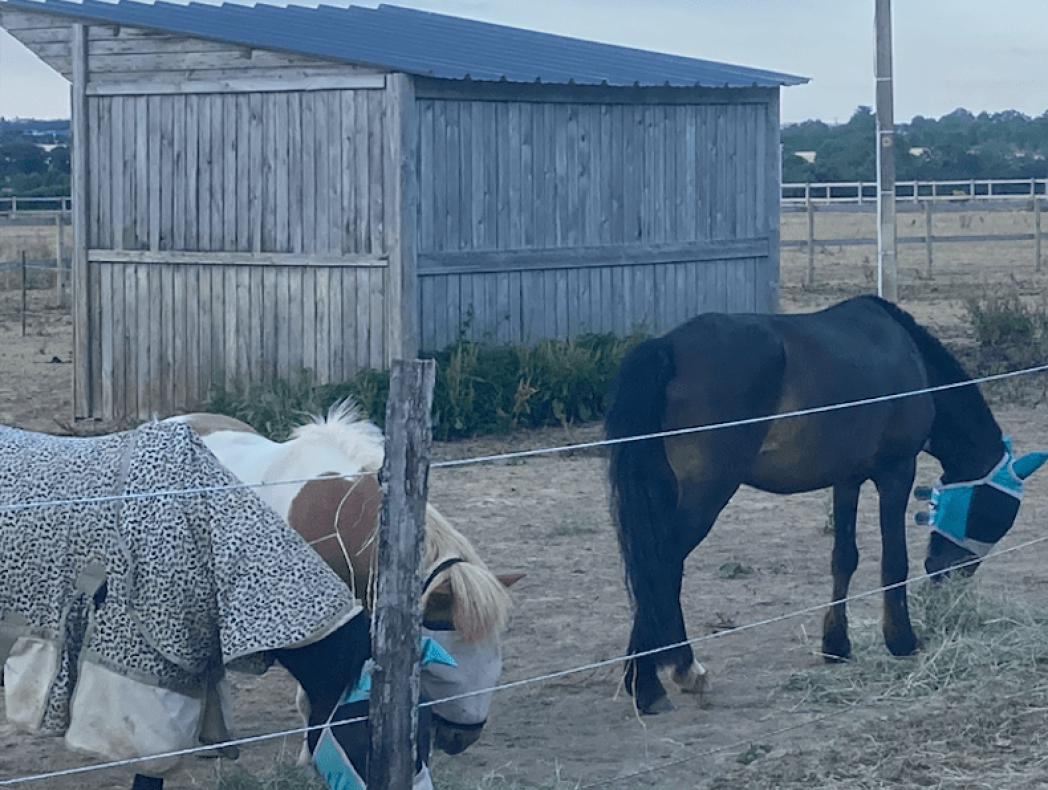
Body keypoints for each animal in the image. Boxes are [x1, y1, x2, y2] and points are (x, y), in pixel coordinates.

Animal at [605, 295, 1048, 715]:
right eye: (992, 515)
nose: (949, 577)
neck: (908, 355)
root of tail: (667, 347)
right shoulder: (897, 472)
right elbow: (894, 561)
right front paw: (902, 640)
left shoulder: (846, 480)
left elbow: (844, 558)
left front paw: (836, 645)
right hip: (707, 493)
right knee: (662, 567)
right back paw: (664, 678)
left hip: (664, 492)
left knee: (656, 573)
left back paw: (655, 674)